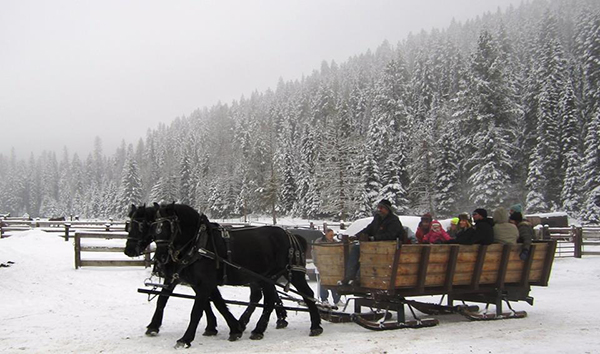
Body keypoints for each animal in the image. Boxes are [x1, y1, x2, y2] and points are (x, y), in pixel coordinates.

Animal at [151, 203, 324, 348]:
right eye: (155, 229)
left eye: (168, 227)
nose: (159, 258)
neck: (200, 243)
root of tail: (292, 235)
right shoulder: (199, 283)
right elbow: (218, 304)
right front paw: (235, 328)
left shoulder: (204, 283)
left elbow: (197, 311)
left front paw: (185, 339)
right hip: (267, 278)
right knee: (268, 300)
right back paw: (258, 329)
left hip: (293, 273)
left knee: (307, 294)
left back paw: (315, 326)